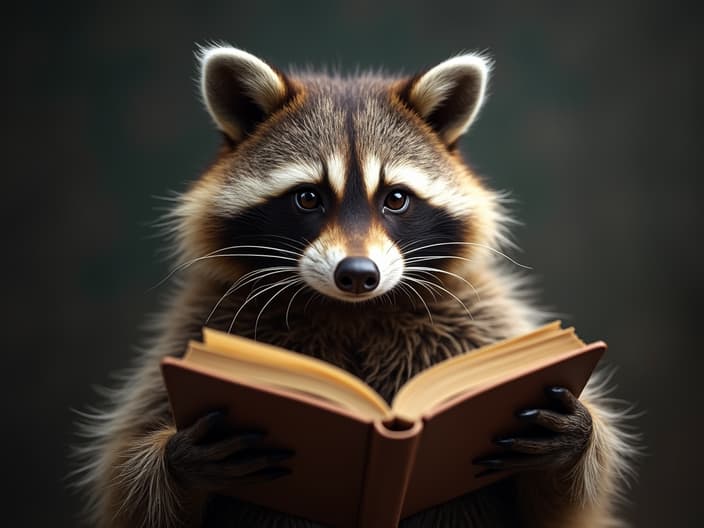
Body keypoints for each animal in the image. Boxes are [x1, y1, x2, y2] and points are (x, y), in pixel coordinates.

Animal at [74, 47, 636, 524]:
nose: (359, 275)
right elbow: (127, 484)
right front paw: (178, 457)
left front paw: (574, 437)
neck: (350, 311)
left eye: (396, 199)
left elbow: (562, 510)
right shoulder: (198, 323)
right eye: (307, 198)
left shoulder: (482, 317)